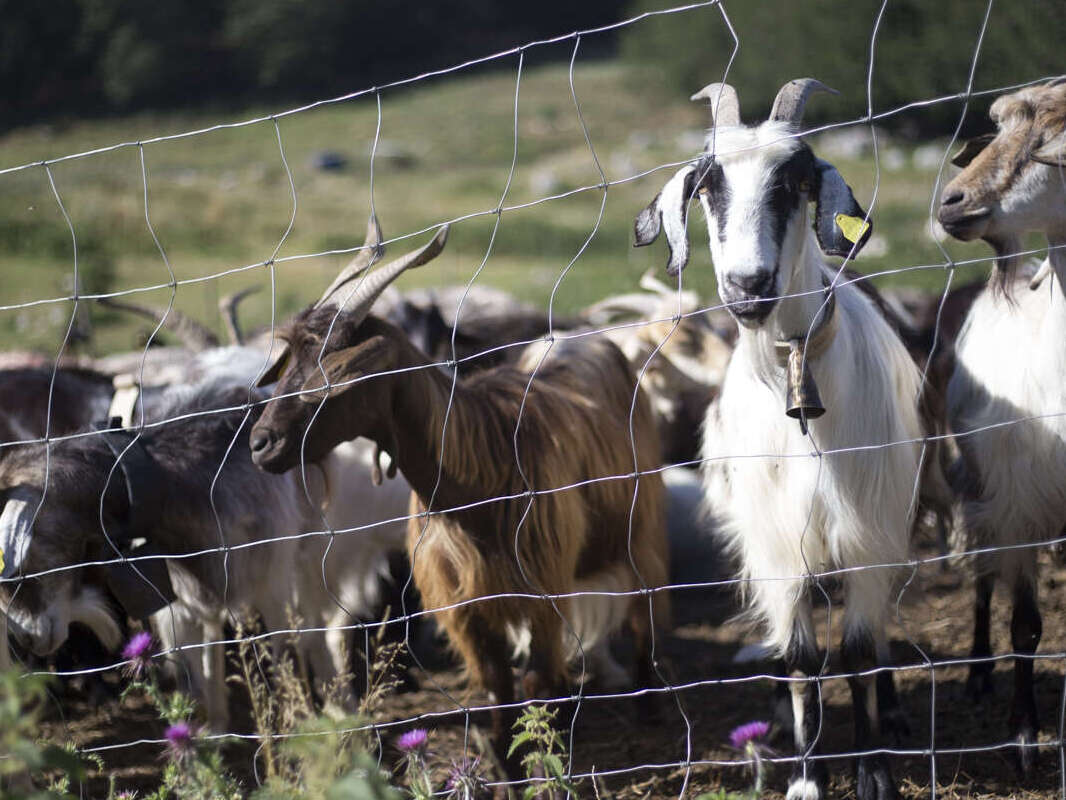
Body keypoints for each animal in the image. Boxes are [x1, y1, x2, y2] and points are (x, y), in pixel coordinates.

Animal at [246, 222, 669, 772]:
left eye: (334, 371)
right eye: (289, 363)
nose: (261, 443)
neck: (477, 481)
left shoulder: (541, 591)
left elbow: (539, 687)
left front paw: (548, 767)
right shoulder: (464, 605)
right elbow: (497, 695)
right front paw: (505, 771)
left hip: (642, 527)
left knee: (645, 612)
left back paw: (650, 706)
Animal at [635, 80, 929, 800]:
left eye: (796, 179)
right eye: (707, 186)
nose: (747, 285)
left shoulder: (867, 527)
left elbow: (856, 649)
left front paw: (873, 772)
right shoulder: (775, 539)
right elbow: (800, 657)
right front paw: (804, 777)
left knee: (878, 633)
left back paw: (894, 715)